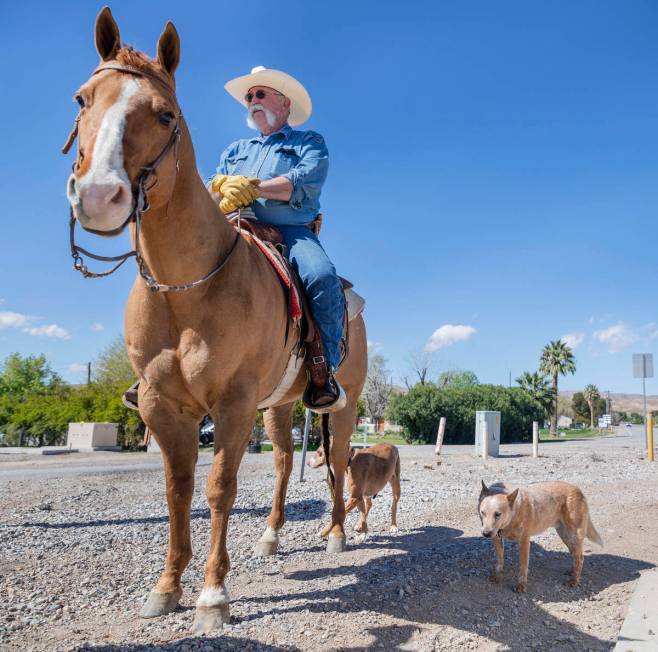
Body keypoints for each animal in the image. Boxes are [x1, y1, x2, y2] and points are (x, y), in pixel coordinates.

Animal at [64, 7, 366, 636]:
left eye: (165, 113)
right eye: (82, 99)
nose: (100, 196)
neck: (188, 289)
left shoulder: (230, 404)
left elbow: (220, 487)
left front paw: (211, 594)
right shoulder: (163, 406)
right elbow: (178, 491)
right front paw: (166, 588)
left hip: (342, 403)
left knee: (339, 460)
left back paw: (334, 534)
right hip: (278, 406)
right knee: (283, 462)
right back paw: (272, 537)